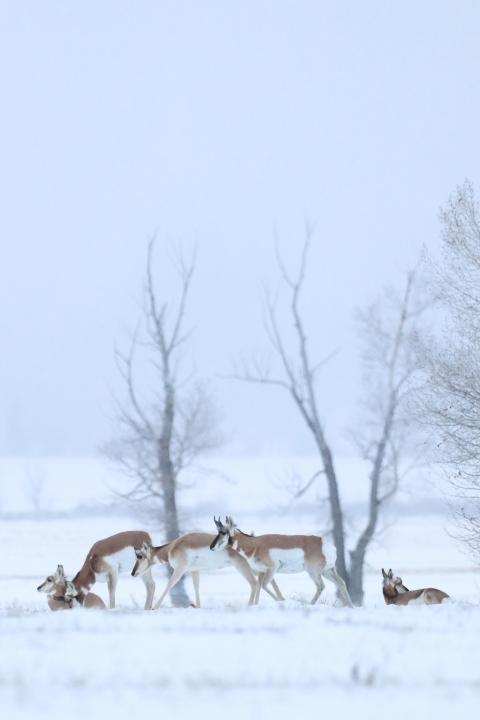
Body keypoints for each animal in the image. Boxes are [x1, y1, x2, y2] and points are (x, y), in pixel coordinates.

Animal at [132, 531, 284, 609]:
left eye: (139, 555)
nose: (133, 573)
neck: (172, 547)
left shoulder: (180, 568)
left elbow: (170, 584)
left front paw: (154, 607)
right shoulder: (194, 570)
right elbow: (196, 587)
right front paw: (197, 606)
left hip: (242, 567)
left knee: (254, 583)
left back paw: (252, 605)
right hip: (251, 567)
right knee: (266, 579)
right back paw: (279, 600)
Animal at [210, 516, 355, 607]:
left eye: (223, 532)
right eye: (218, 531)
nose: (211, 547)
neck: (255, 544)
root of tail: (327, 544)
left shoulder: (272, 569)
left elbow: (264, 586)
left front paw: (280, 601)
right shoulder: (262, 572)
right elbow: (258, 588)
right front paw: (255, 606)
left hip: (313, 571)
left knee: (320, 586)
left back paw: (309, 605)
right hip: (327, 571)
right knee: (341, 583)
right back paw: (351, 607)